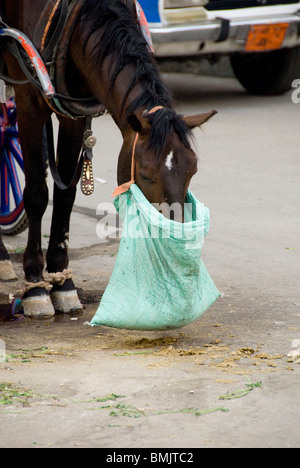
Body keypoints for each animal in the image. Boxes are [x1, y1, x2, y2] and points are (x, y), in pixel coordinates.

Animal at [0, 0, 216, 318]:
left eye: (193, 170)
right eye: (146, 174)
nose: (175, 236)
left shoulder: (72, 114)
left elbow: (65, 196)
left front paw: (62, 282)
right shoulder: (29, 102)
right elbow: (37, 194)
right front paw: (36, 285)